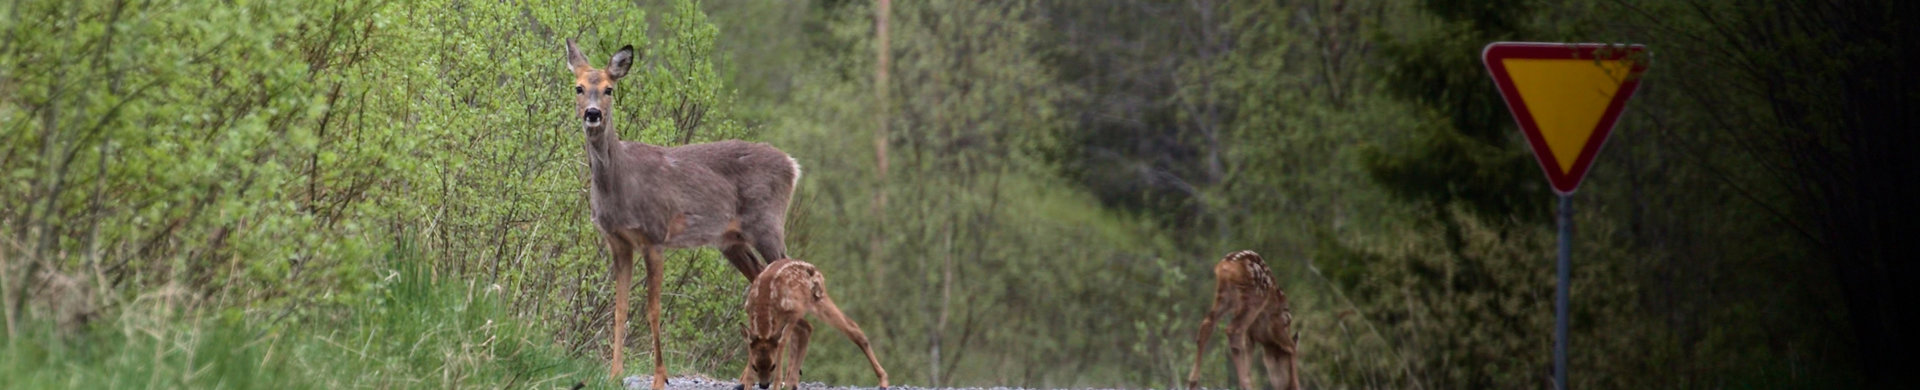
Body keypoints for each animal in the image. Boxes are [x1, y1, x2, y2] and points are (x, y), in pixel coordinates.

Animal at [568, 38, 810, 388]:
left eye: (609, 89)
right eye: (579, 87)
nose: (592, 113)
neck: (621, 183)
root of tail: (793, 165)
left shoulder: (654, 234)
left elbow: (653, 309)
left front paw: (660, 377)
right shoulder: (618, 242)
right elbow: (620, 308)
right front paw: (614, 374)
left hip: (768, 225)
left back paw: (782, 380)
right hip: (732, 242)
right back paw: (752, 377)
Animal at [737, 259, 887, 390]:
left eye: (773, 366)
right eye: (755, 366)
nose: (763, 385)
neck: (764, 304)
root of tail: (815, 270)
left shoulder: (793, 312)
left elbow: (782, 343)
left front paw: (776, 384)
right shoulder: (750, 313)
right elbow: (750, 345)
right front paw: (747, 384)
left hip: (818, 299)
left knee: (852, 327)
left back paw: (883, 380)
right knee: (809, 328)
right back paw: (791, 383)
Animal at [1182, 249, 1305, 390]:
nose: (1288, 386)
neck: (1268, 342)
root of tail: (1228, 265)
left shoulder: (1251, 334)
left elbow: (1248, 352)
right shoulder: (1277, 325)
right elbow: (1292, 348)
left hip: (1225, 296)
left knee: (1208, 323)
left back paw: (1192, 381)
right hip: (1253, 298)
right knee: (1233, 330)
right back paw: (1246, 385)